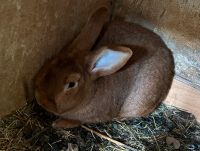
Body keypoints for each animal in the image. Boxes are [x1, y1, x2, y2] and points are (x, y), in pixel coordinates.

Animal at [34, 4, 175, 128]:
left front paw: (59, 124)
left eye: (71, 84)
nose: (40, 99)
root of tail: (167, 53)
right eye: (51, 62)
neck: (90, 94)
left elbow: (78, 121)